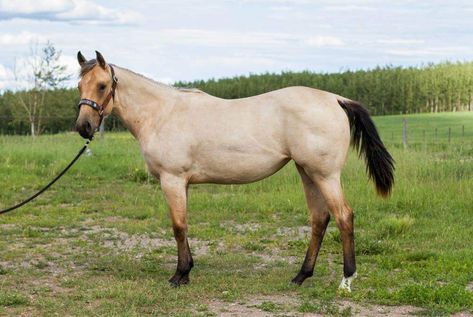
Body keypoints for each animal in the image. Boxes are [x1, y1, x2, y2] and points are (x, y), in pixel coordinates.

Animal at [75, 50, 392, 290]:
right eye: (79, 86)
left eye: (102, 86)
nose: (83, 127)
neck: (162, 113)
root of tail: (336, 99)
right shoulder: (183, 183)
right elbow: (185, 225)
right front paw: (187, 271)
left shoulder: (172, 180)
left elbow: (178, 227)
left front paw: (179, 275)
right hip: (307, 172)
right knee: (319, 219)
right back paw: (301, 276)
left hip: (325, 175)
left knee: (343, 217)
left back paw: (346, 280)